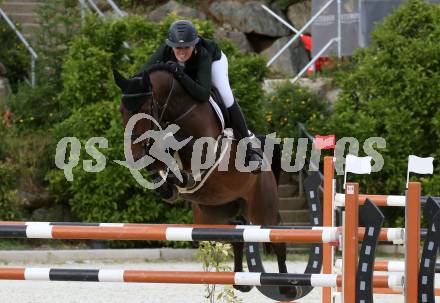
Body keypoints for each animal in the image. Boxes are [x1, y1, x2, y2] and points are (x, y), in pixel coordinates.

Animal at [113, 66, 294, 300]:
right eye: (121, 111)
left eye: (145, 108)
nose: (134, 156)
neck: (177, 109)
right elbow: (157, 158)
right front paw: (165, 186)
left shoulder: (204, 151)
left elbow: (179, 155)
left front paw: (178, 178)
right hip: (211, 213)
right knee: (237, 232)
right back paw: (242, 284)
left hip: (261, 207)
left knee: (276, 238)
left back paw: (287, 287)